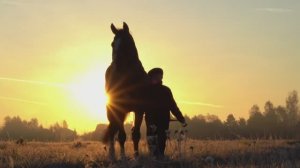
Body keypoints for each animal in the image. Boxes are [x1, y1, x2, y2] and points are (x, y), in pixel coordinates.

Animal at [103, 22, 148, 160]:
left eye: (126, 43)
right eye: (112, 44)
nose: (116, 67)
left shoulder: (139, 110)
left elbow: (136, 135)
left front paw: (136, 156)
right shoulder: (119, 109)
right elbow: (121, 136)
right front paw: (123, 158)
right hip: (111, 110)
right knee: (112, 133)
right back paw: (112, 155)